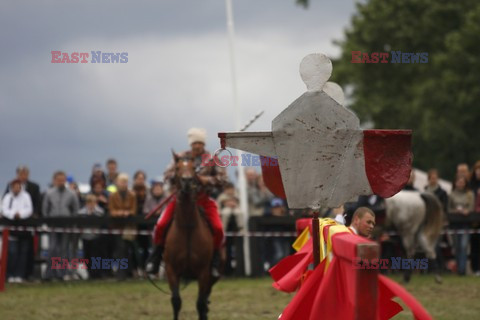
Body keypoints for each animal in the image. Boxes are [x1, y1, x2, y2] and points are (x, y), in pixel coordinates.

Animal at [166, 152, 217, 320]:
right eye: (177, 168)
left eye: (194, 168)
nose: (187, 181)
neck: (187, 228)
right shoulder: (171, 270)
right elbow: (176, 301)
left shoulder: (203, 272)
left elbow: (200, 303)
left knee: (205, 299)